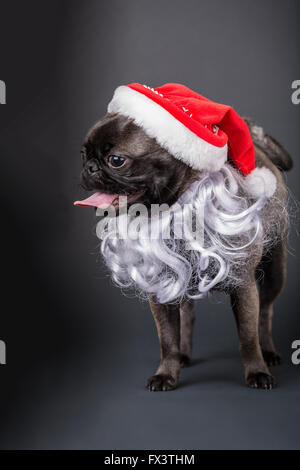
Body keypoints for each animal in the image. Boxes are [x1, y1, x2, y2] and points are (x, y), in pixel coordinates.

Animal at [75, 83, 292, 390]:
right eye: (84, 155)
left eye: (116, 160)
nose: (89, 167)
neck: (174, 210)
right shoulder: (162, 288)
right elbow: (168, 338)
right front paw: (167, 372)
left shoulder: (244, 286)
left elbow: (248, 337)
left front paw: (256, 371)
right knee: (187, 316)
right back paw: (184, 356)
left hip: (274, 270)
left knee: (265, 312)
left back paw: (269, 352)